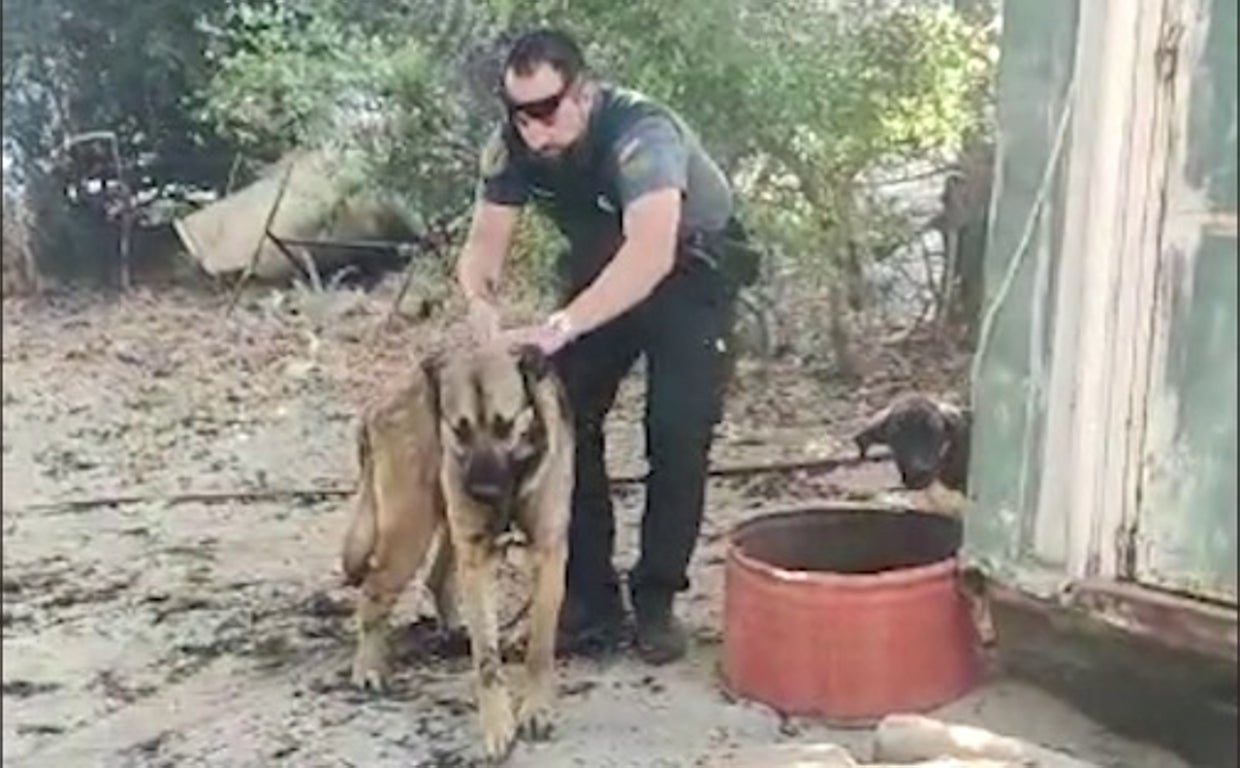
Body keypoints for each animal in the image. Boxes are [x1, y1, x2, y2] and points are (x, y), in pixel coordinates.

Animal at [339, 344, 570, 764]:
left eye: (504, 426)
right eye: (460, 429)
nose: (482, 492)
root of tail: (377, 402)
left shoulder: (549, 552)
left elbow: (541, 648)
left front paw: (536, 708)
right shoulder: (478, 557)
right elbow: (487, 659)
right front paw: (498, 725)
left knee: (434, 577)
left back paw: (448, 629)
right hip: (411, 532)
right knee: (373, 592)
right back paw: (368, 667)